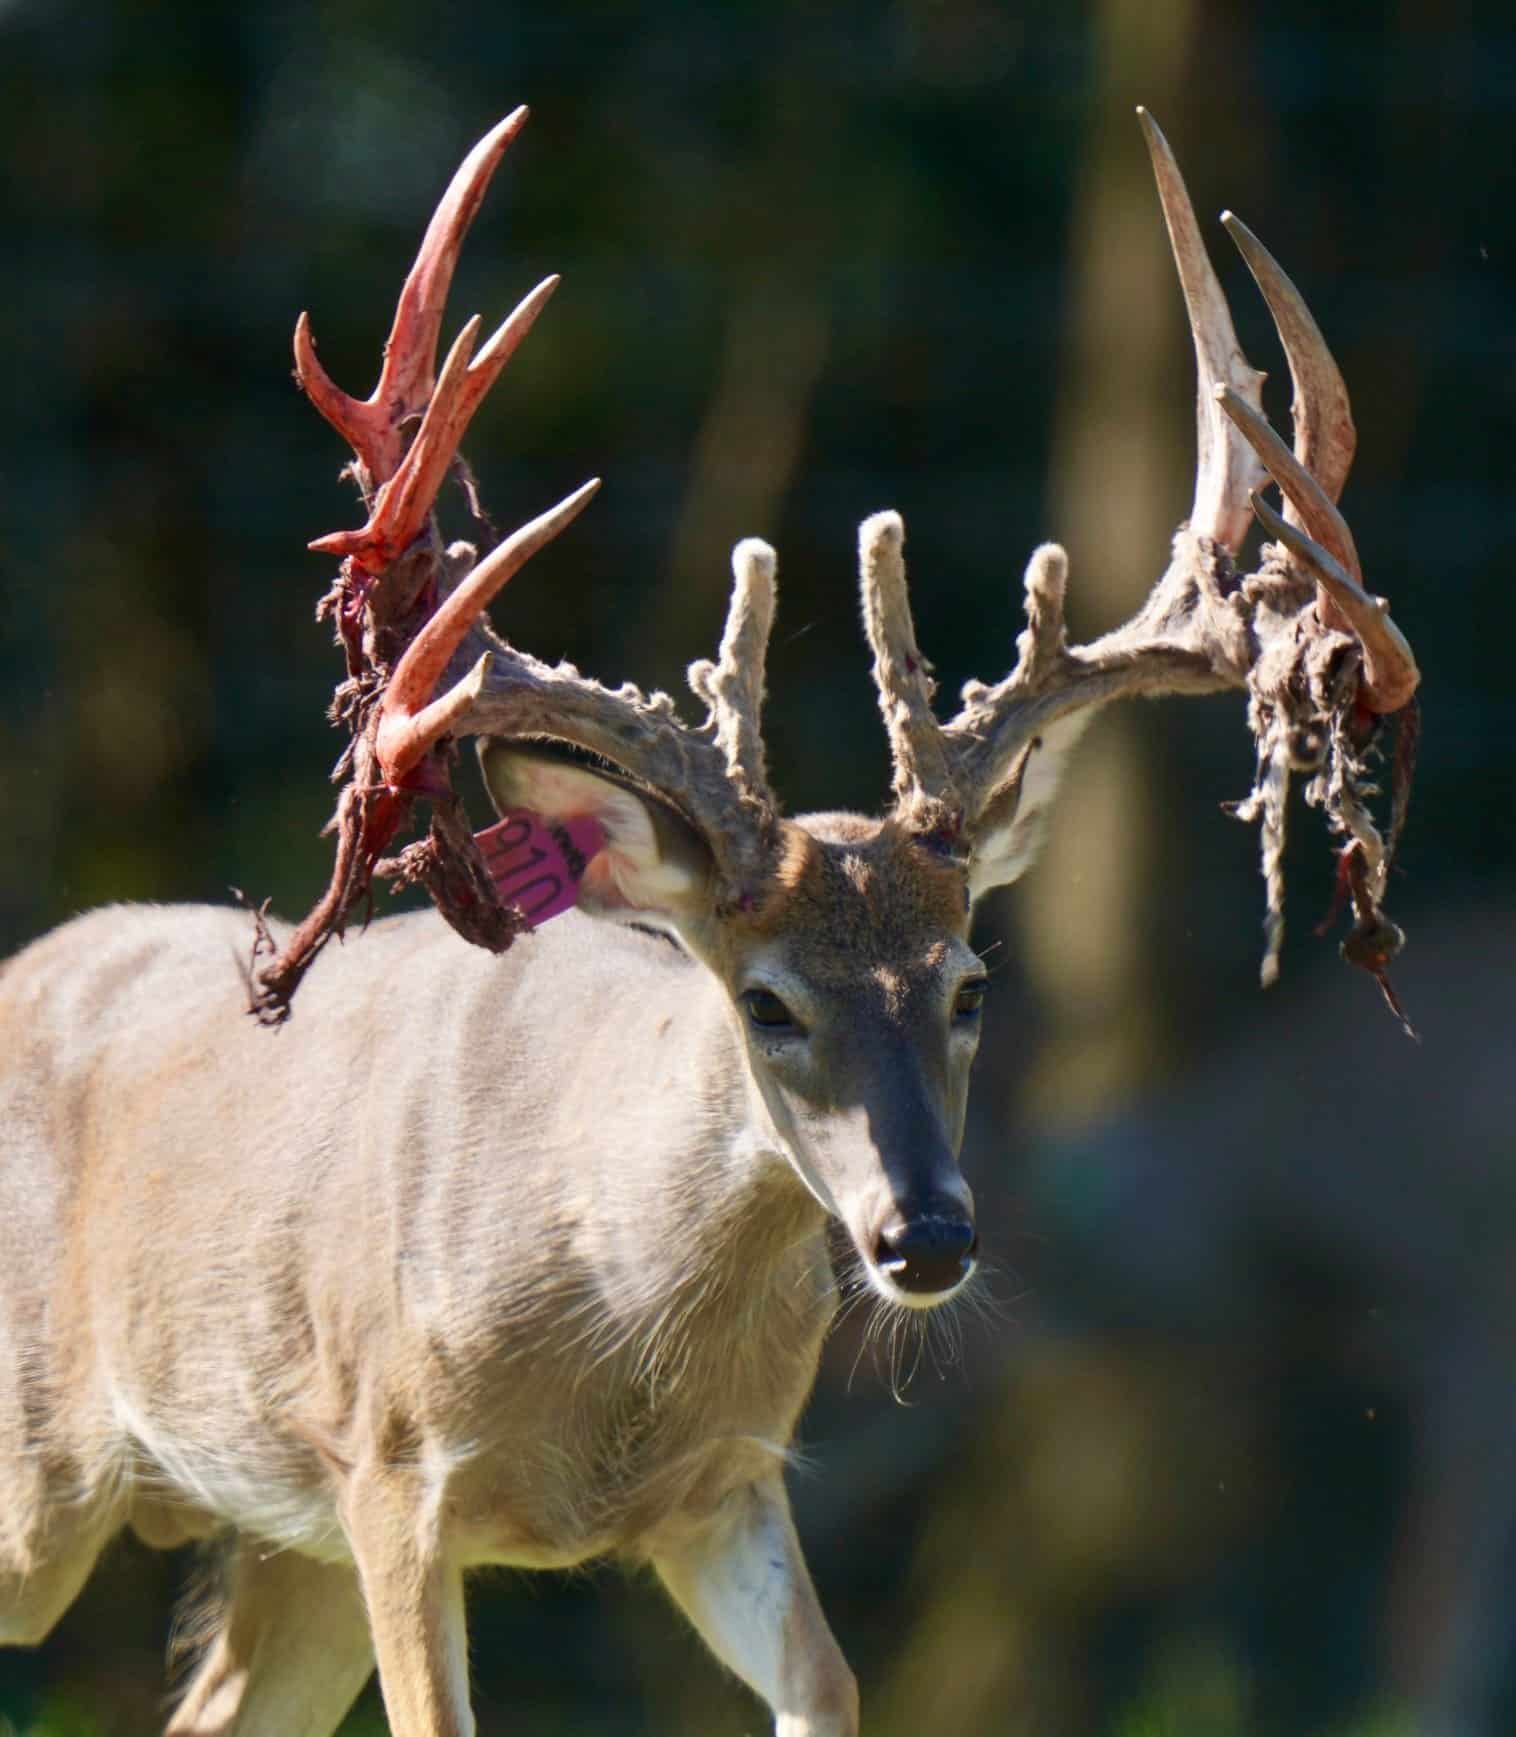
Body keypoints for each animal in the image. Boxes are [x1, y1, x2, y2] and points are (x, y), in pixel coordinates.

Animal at [0, 107, 1417, 1736]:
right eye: (768, 1002)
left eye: (970, 983)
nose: (926, 1236)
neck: (614, 1327)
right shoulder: (392, 1466)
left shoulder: (724, 1487)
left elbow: (833, 1684)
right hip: (59, 1476)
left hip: (275, 1546)